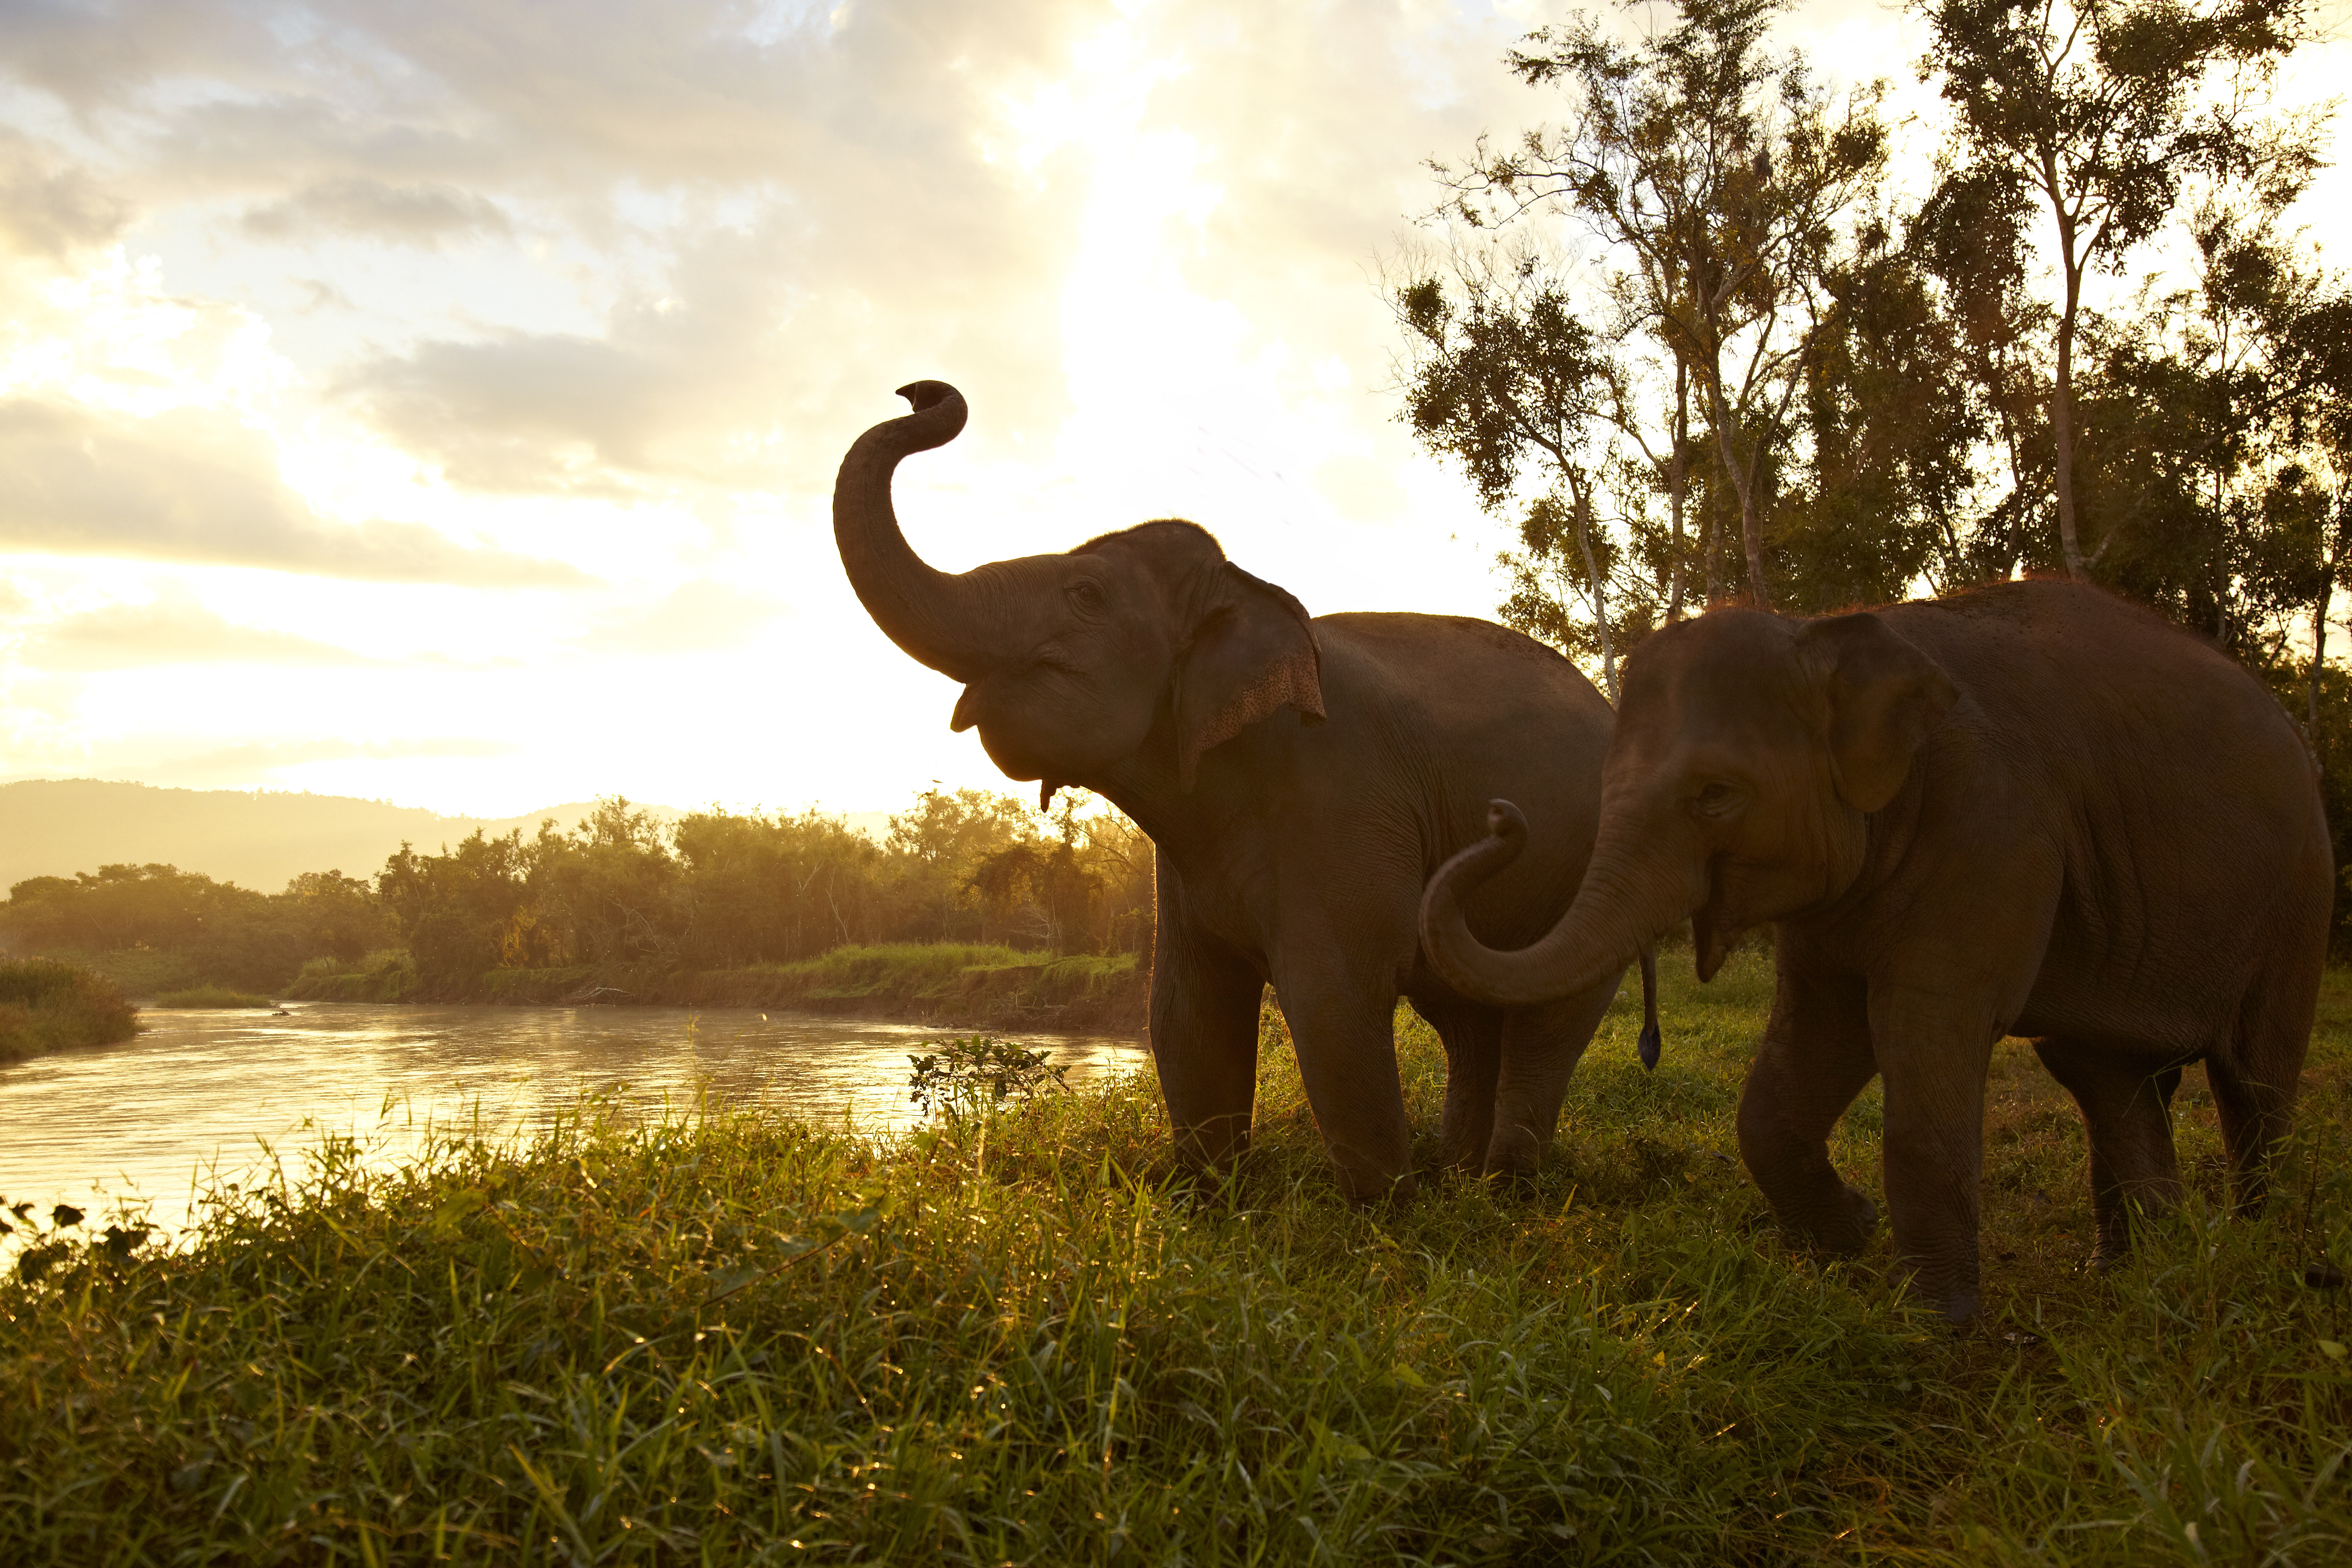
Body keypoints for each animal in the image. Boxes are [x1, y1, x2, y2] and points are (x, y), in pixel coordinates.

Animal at [837, 381, 1665, 1203]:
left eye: (1086, 593)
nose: (920, 392)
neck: (1246, 589)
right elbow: (1184, 1009)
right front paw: (1209, 1198)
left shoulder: (1337, 797)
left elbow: (1331, 995)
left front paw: (1381, 1211)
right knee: (1469, 1018)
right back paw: (1461, 1177)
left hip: (1592, 869)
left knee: (1544, 1016)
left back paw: (1504, 1187)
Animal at [1411, 580, 2333, 1326]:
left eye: (1716, 795)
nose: (1501, 816)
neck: (1824, 631)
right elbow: (1812, 1042)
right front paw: (1849, 1237)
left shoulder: (1993, 825)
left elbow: (1920, 1028)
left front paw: (1935, 1324)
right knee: (2104, 1074)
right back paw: (2134, 1274)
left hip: (2297, 896)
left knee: (2253, 1078)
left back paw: (2260, 1260)